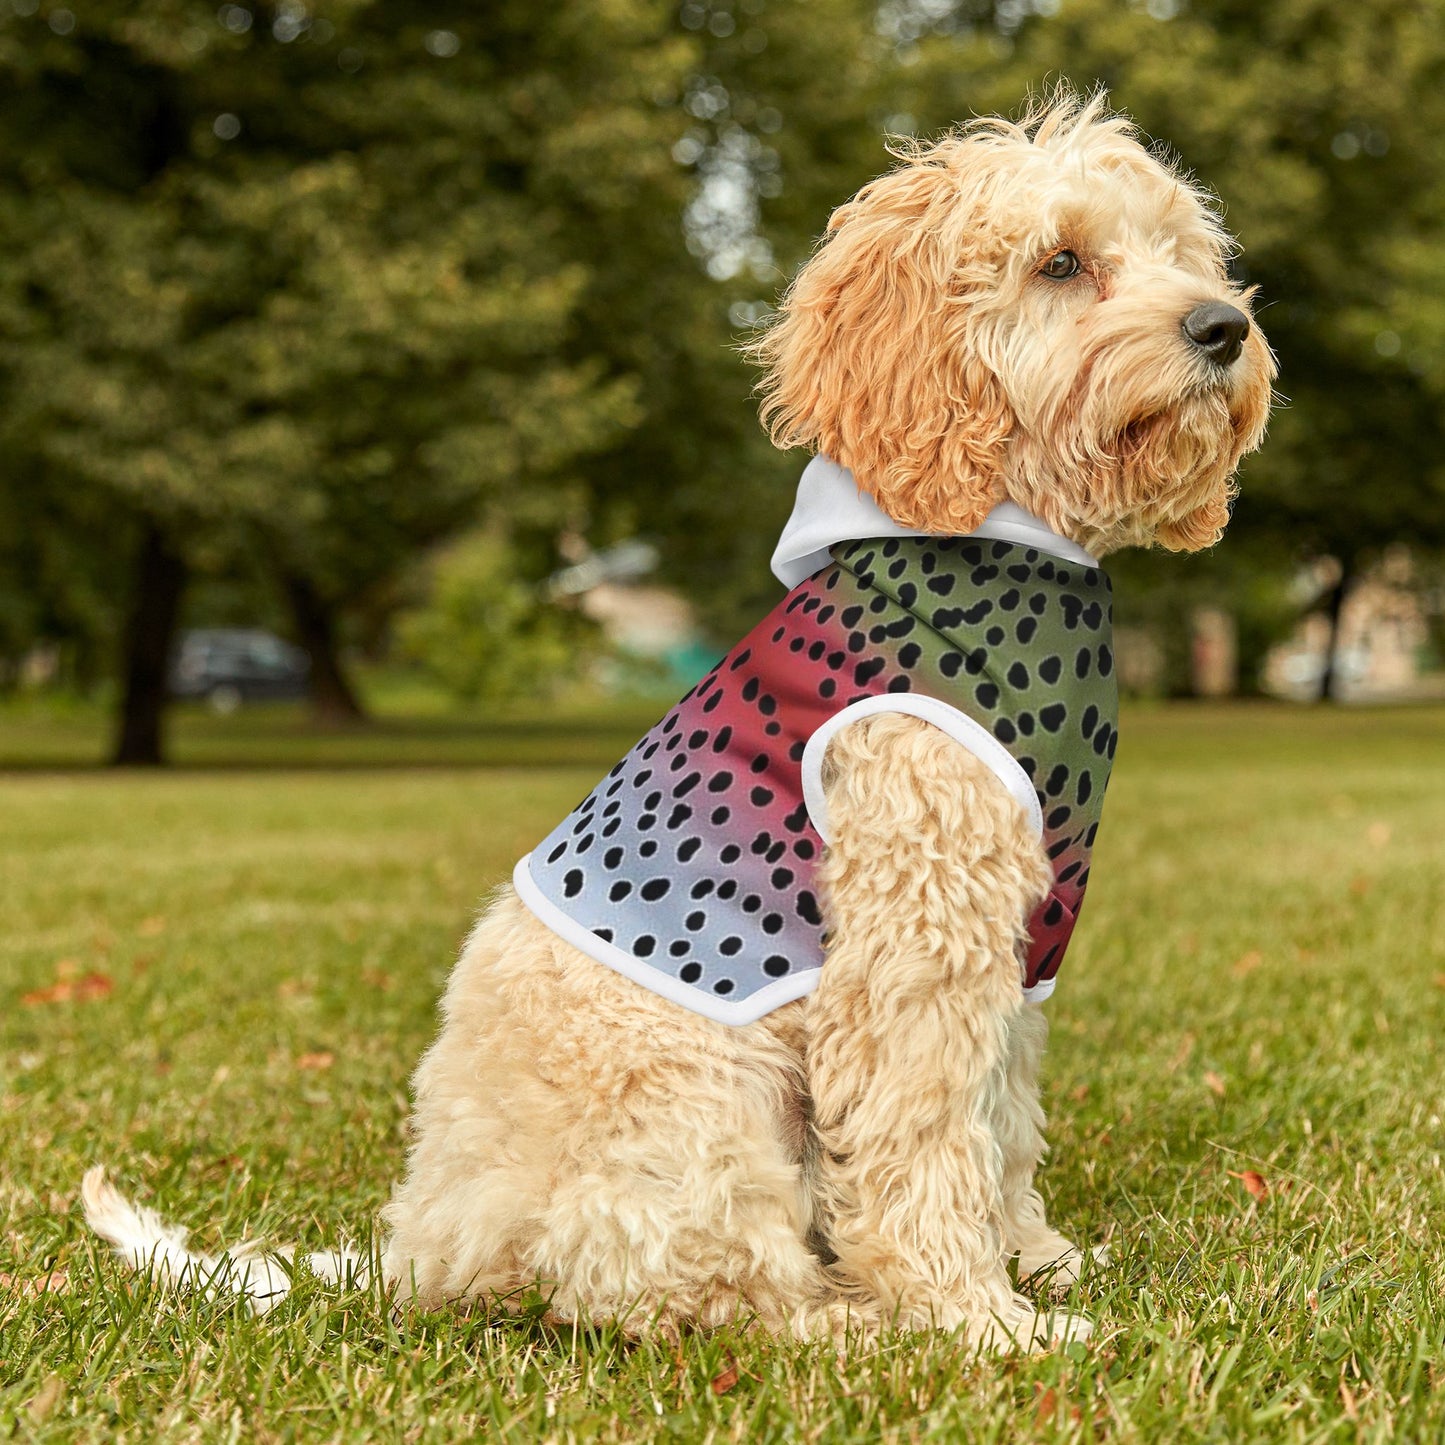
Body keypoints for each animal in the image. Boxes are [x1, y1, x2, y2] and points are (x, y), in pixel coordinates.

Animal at [82, 96, 1277, 1346]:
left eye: (1181, 253)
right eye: (1060, 262)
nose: (1221, 327)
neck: (998, 536)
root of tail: (423, 1249)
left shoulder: (1013, 942)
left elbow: (998, 1121)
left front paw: (1035, 1260)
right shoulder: (912, 935)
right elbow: (924, 1138)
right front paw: (975, 1317)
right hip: (701, 1107)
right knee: (700, 1287)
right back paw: (850, 1320)